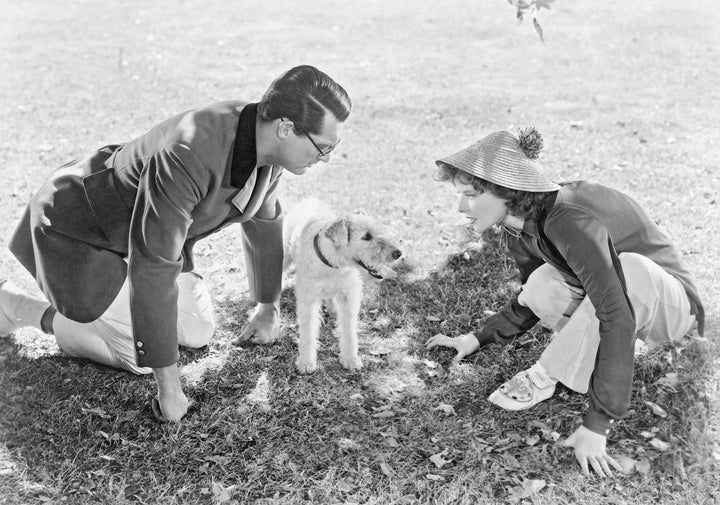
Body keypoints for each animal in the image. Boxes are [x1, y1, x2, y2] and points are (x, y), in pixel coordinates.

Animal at [282, 199, 404, 372]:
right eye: (366, 236)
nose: (398, 253)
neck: (333, 264)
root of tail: (311, 199)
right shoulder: (308, 299)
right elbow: (308, 331)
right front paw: (306, 362)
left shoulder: (349, 296)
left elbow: (349, 331)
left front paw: (351, 359)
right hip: (284, 255)